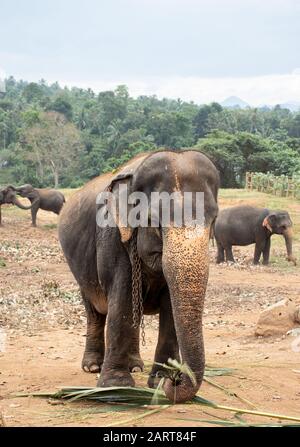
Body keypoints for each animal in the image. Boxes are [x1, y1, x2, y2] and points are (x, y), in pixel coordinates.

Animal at [58, 150, 219, 406]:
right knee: (95, 311)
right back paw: (93, 367)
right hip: (79, 270)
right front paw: (115, 387)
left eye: (214, 220)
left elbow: (169, 307)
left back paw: (135, 366)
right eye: (154, 222)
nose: (175, 381)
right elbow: (121, 299)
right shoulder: (112, 236)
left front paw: (160, 380)